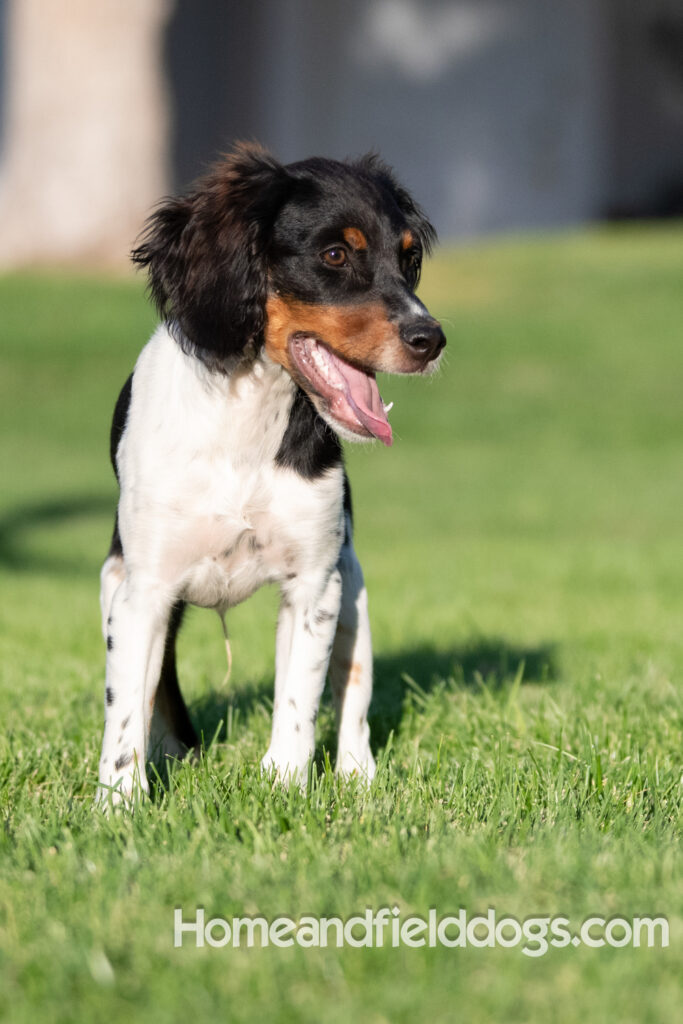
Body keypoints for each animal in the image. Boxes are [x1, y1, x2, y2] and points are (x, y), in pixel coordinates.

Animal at [98, 144, 446, 798]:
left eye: (409, 258)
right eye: (334, 254)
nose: (431, 339)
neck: (247, 421)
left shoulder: (315, 584)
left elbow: (298, 701)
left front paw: (286, 786)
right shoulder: (143, 587)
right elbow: (127, 710)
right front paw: (118, 804)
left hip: (353, 590)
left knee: (352, 699)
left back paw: (359, 776)